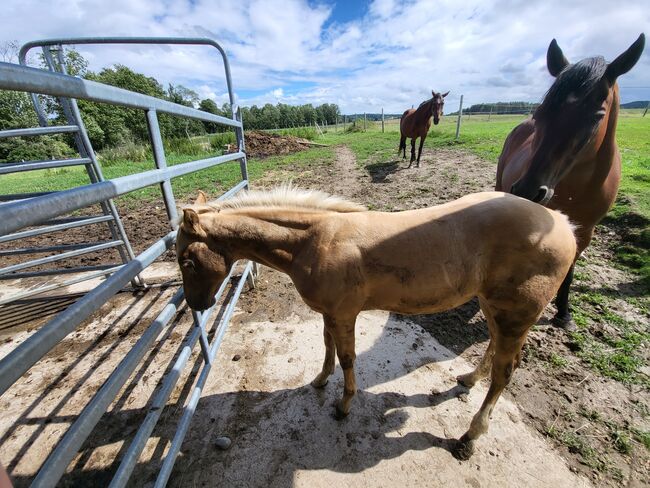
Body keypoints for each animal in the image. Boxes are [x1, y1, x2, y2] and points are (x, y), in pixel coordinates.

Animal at [176, 185, 572, 460]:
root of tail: (563, 223)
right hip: (493, 306)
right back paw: (469, 379)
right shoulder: (329, 313)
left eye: (187, 261)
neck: (314, 240)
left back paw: (469, 438)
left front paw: (343, 406)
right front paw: (320, 380)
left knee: (505, 372)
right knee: (492, 348)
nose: (197, 305)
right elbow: (327, 346)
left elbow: (348, 358)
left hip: (514, 314)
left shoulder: (344, 314)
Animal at [496, 32, 644, 330]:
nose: (529, 189)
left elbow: (570, 268)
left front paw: (563, 313)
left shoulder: (585, 230)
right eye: (541, 111)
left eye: (597, 116)